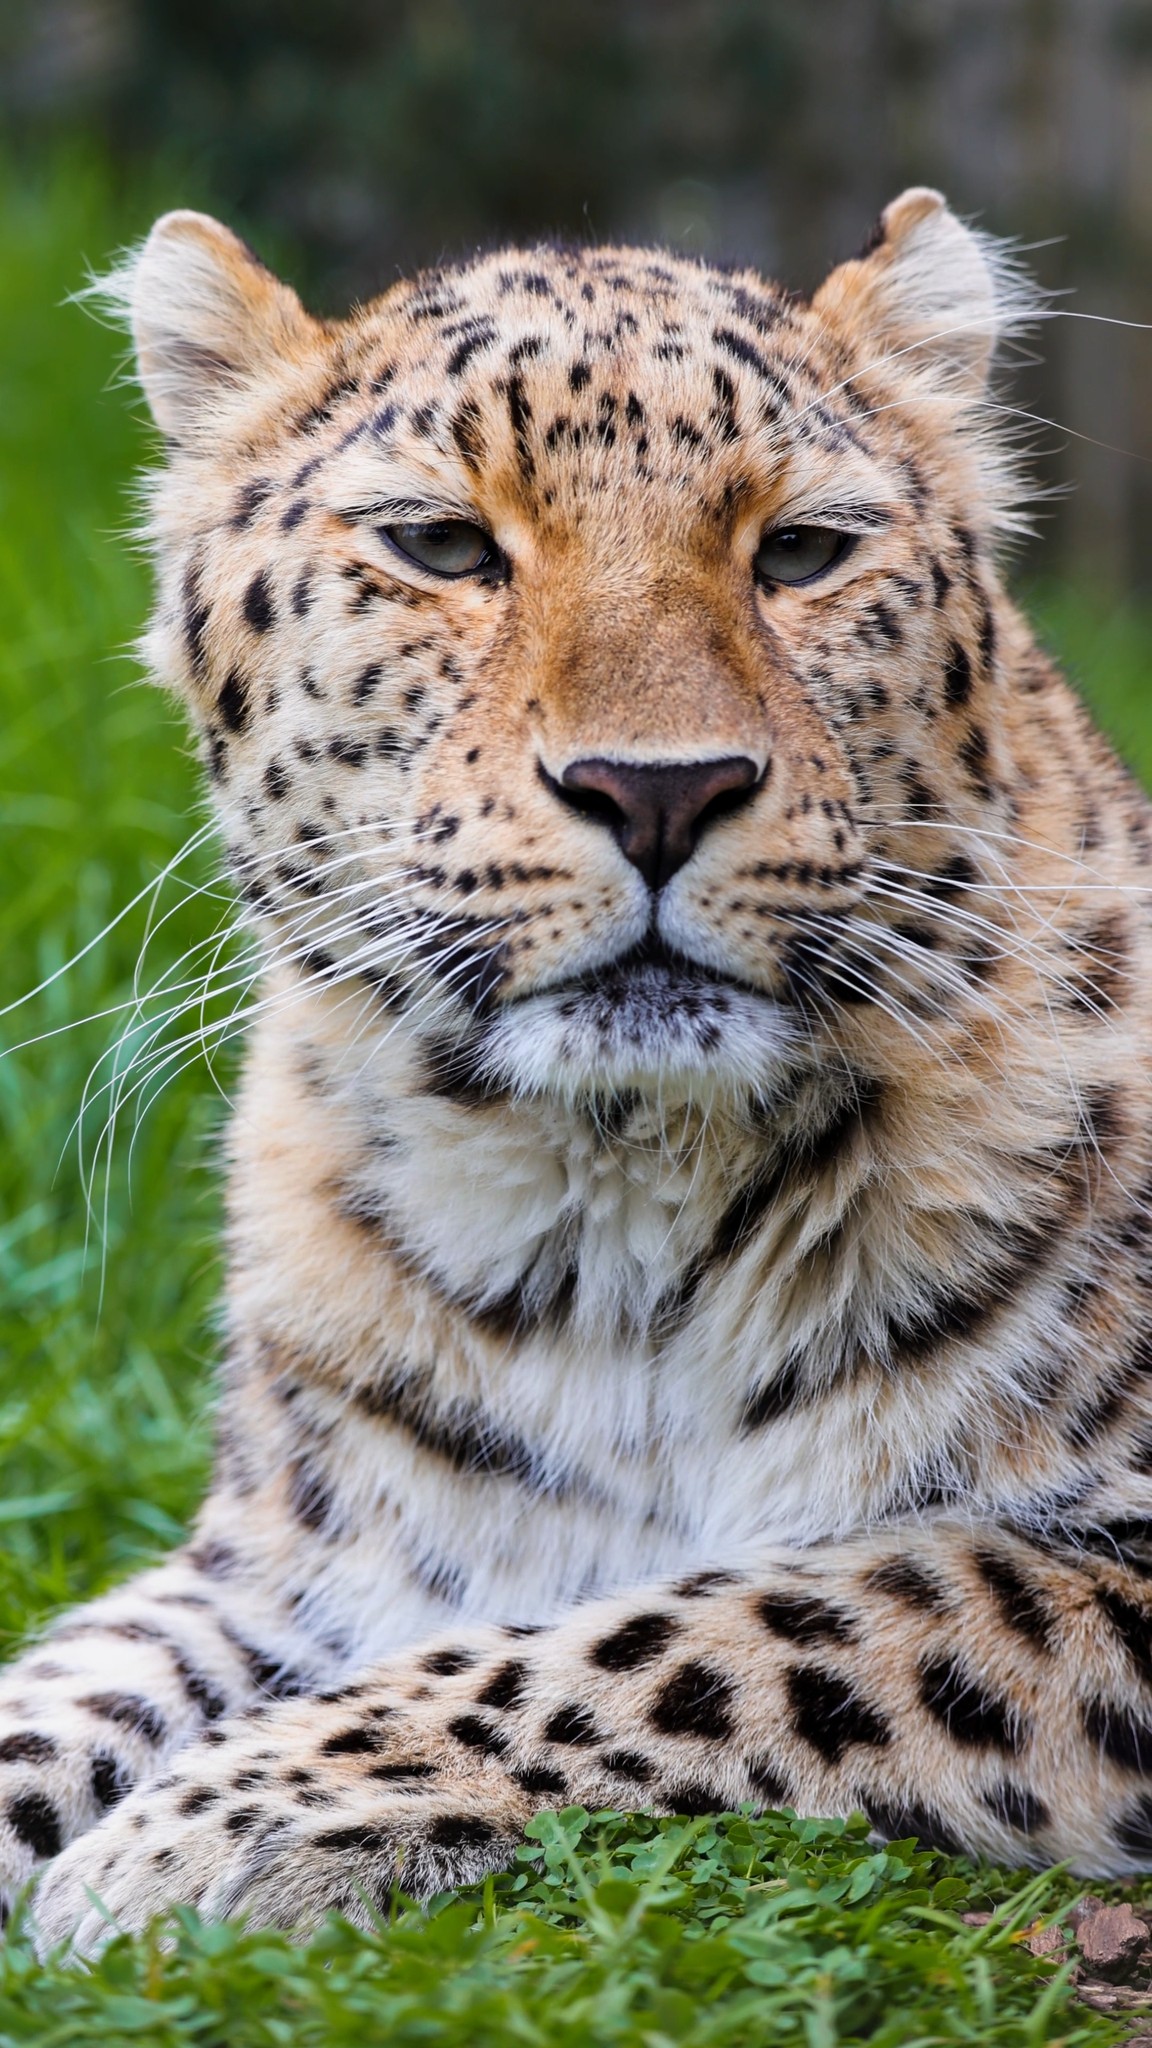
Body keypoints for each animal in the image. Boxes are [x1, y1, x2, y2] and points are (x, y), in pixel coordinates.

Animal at [11, 184, 1152, 1956]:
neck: (612, 1216)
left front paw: (206, 1829)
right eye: (442, 546)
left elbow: (735, 1622)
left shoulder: (1104, 1562)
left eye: (802, 551)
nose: (657, 791)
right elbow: (63, 1687)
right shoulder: (277, 1562)